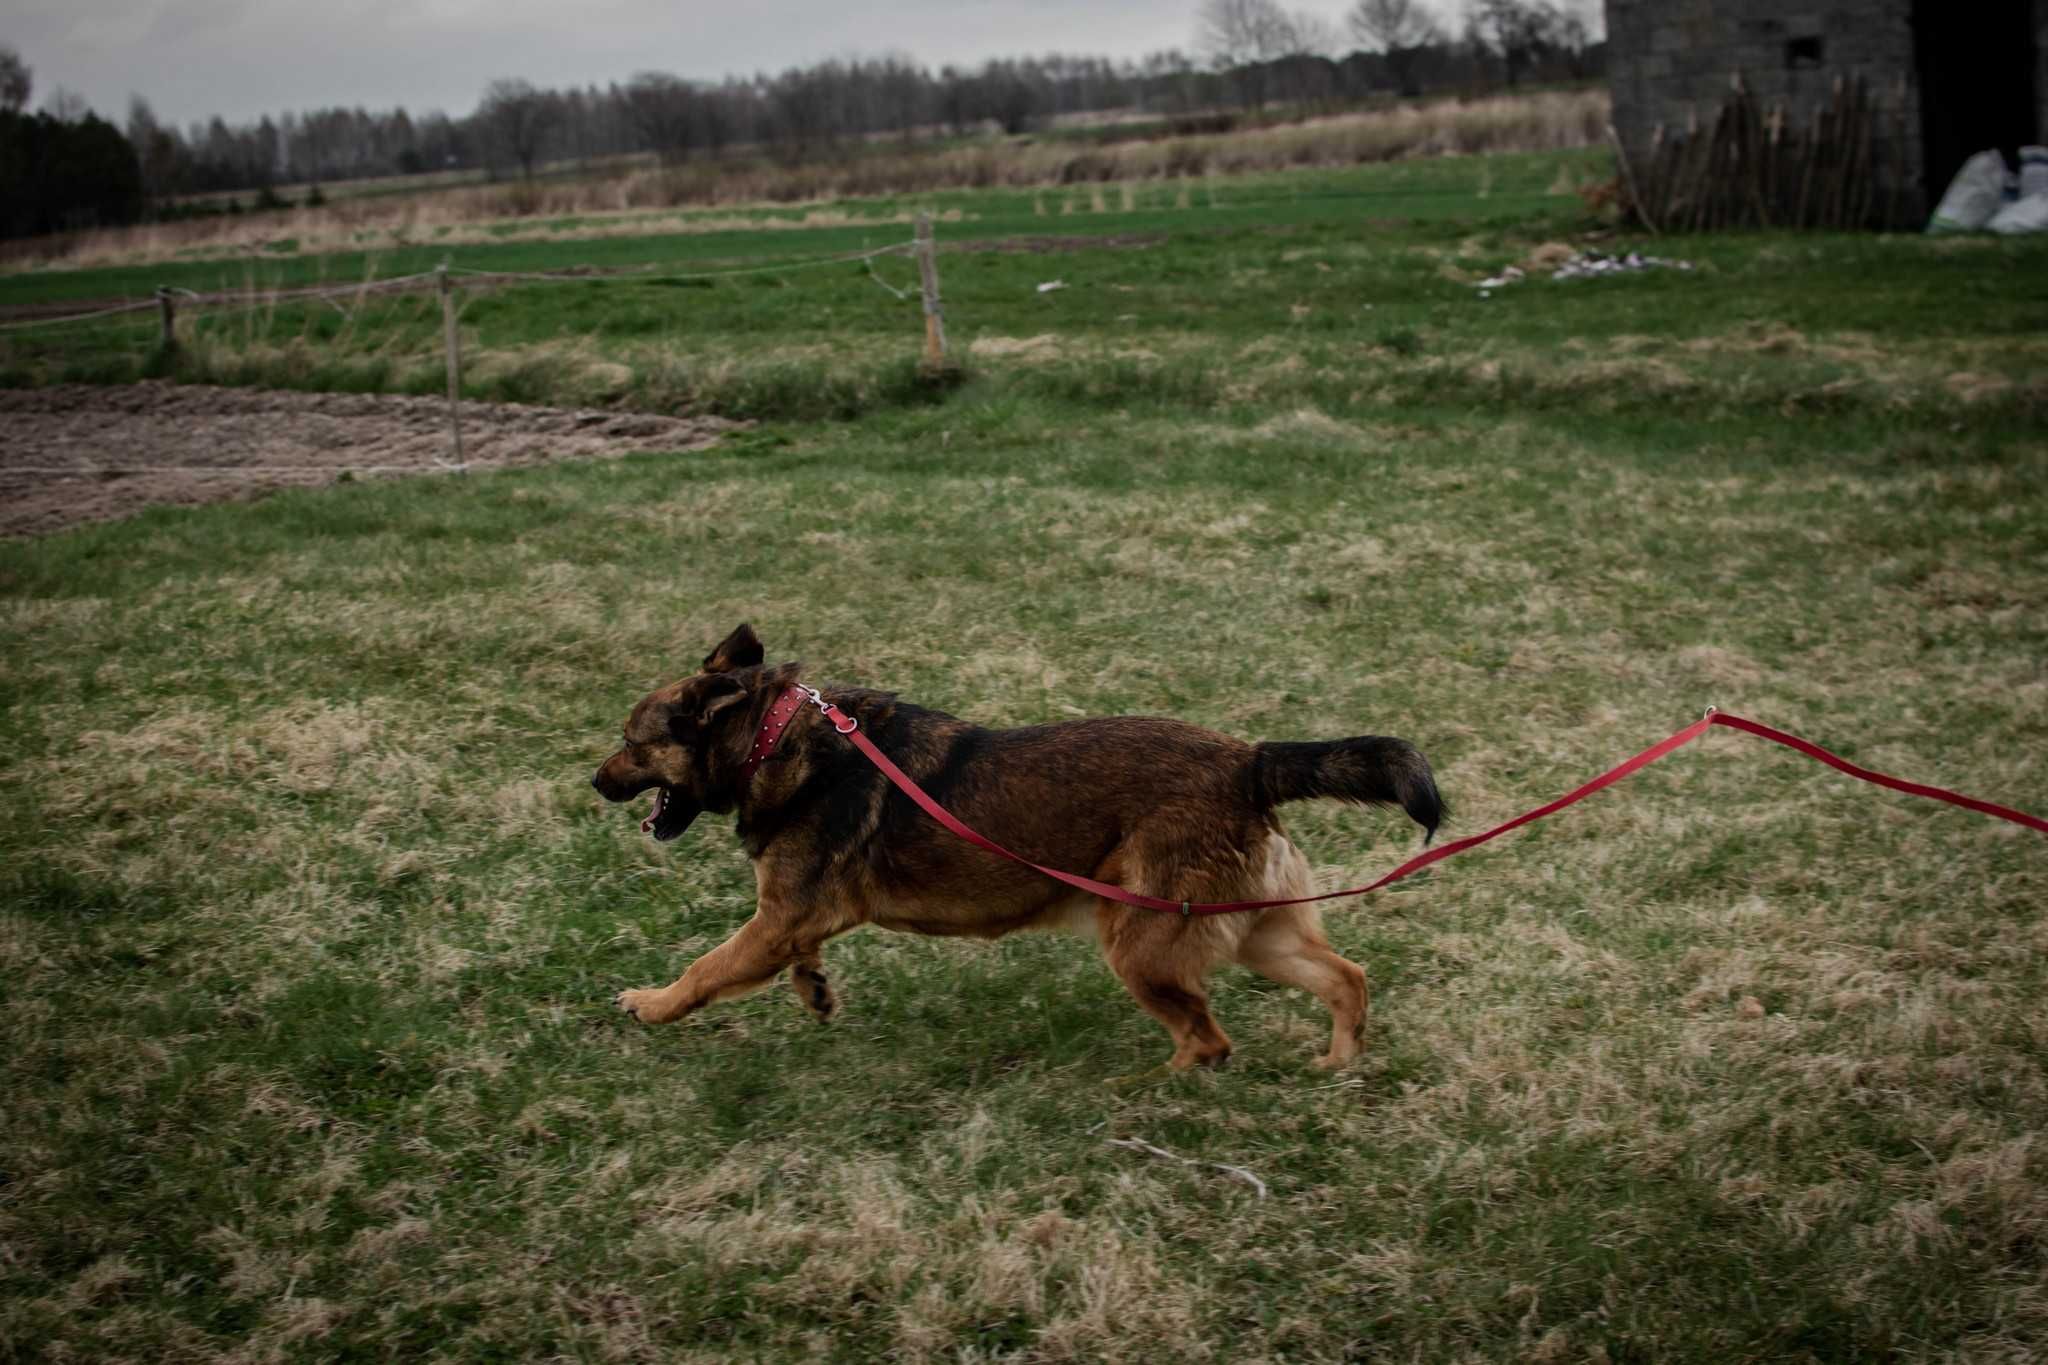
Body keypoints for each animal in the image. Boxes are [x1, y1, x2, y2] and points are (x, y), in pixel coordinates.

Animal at [589, 626, 1441, 1072]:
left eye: (631, 743)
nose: (593, 781)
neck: (775, 737)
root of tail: (1247, 760)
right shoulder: (792, 919)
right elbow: (797, 958)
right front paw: (816, 991)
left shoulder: (775, 919)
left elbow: (706, 969)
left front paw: (652, 1004)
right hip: (1252, 930)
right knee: (1345, 978)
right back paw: (1337, 1061)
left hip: (1142, 945)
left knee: (1209, 1039)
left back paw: (1153, 1089)